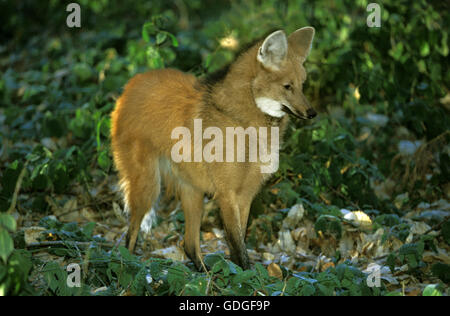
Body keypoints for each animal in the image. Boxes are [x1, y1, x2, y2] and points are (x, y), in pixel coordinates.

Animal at [111, 27, 316, 270]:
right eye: (287, 86)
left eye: (302, 85)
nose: (312, 113)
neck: (245, 123)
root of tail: (131, 85)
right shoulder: (227, 194)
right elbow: (239, 248)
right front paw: (250, 277)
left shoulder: (245, 194)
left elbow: (239, 241)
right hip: (149, 187)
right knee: (130, 235)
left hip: (192, 190)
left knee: (188, 244)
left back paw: (204, 273)